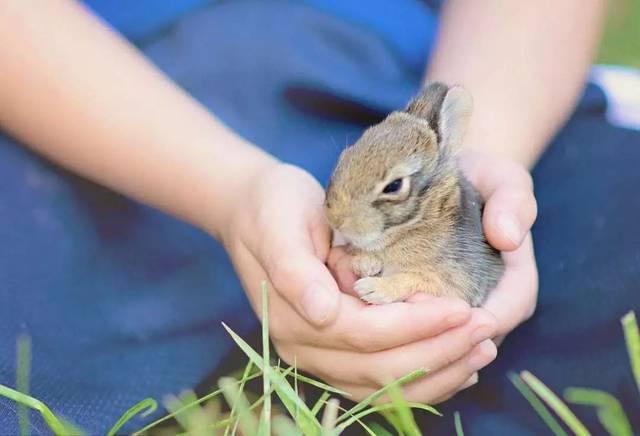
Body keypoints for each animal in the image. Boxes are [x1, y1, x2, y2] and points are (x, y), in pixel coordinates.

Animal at [328, 82, 502, 306]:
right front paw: (366, 264)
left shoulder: (456, 282)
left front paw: (372, 288)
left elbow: (414, 279)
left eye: (394, 186)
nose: (335, 219)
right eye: (345, 155)